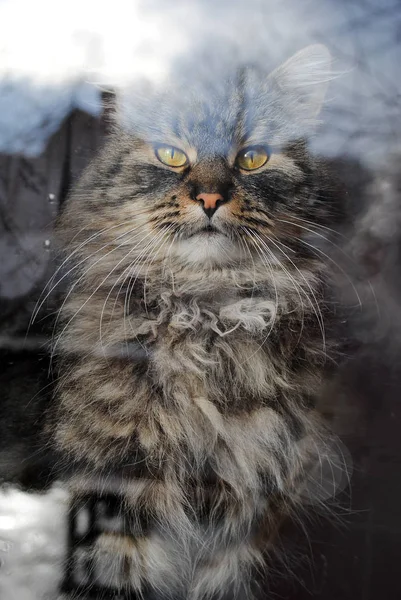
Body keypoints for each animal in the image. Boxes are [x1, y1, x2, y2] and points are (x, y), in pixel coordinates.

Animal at [50, 44, 344, 596]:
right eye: (172, 154)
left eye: (252, 157)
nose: (210, 198)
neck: (205, 315)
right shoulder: (114, 488)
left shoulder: (253, 511)